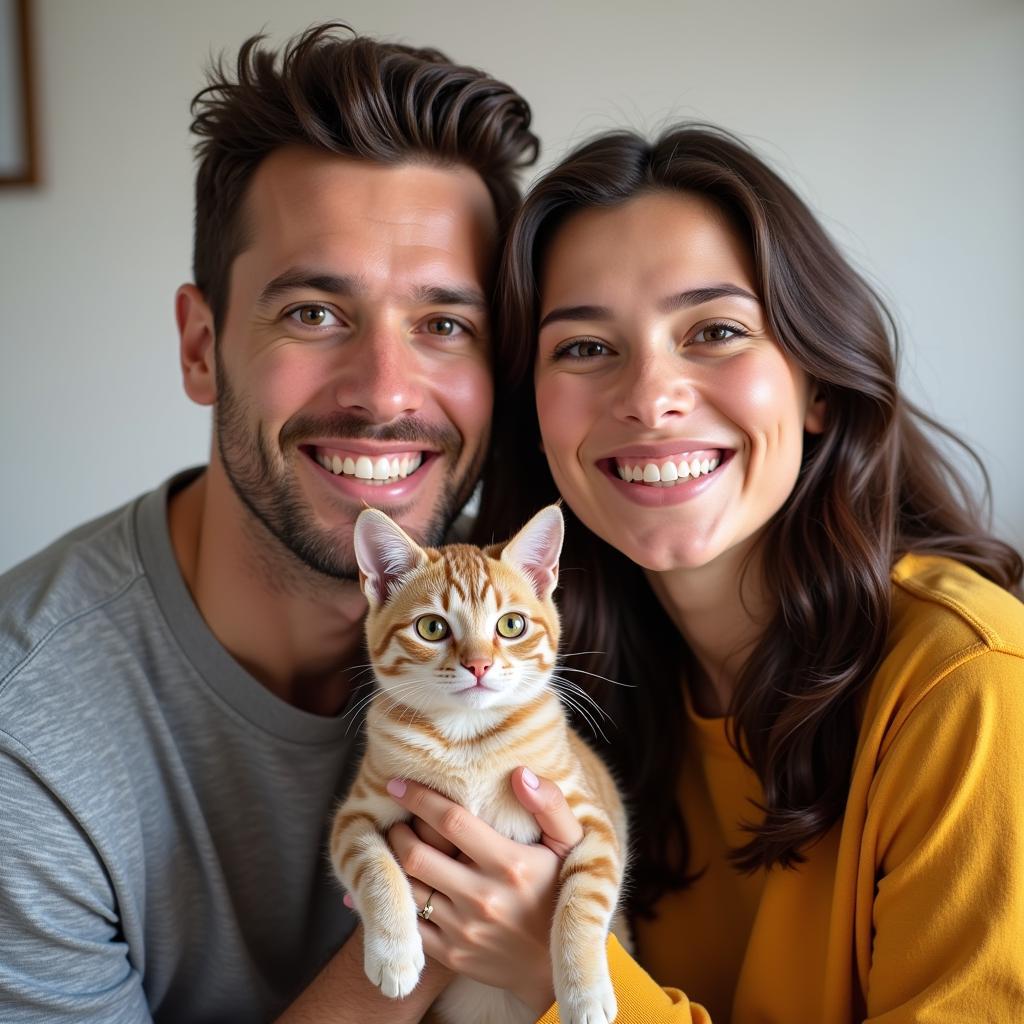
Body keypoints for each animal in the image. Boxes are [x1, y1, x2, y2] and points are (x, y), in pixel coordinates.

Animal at [331, 503, 626, 1024]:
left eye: (511, 625)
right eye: (432, 628)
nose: (479, 665)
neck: (468, 741)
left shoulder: (593, 823)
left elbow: (583, 901)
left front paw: (585, 993)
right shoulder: (356, 814)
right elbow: (373, 865)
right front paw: (395, 953)